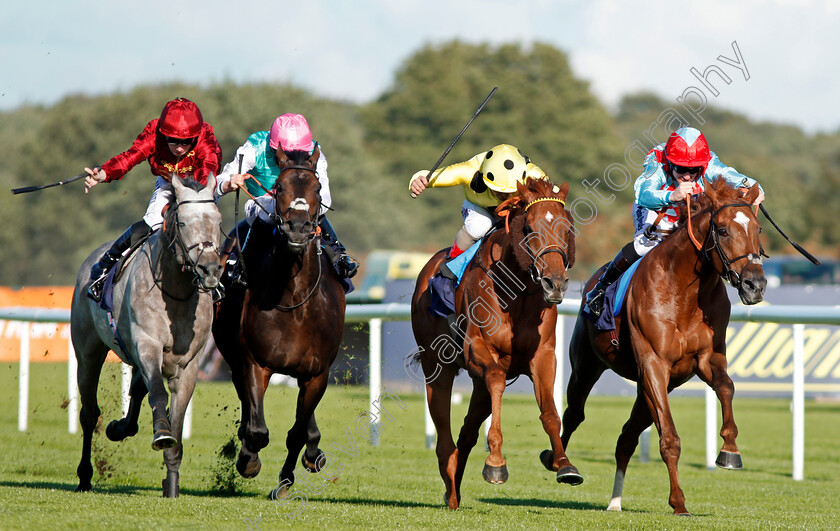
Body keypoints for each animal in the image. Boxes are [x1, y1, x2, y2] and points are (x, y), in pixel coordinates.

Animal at [70, 176, 223, 498]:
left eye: (217, 221)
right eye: (183, 221)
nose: (210, 270)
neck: (176, 291)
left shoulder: (189, 365)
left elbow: (177, 417)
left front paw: (172, 484)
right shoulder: (147, 345)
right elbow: (157, 393)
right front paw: (161, 433)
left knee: (136, 390)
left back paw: (119, 428)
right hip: (88, 353)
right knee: (89, 413)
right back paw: (85, 475)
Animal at [212, 145, 346, 498]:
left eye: (317, 188)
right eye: (279, 187)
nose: (298, 228)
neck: (296, 302)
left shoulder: (317, 373)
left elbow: (297, 432)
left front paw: (285, 482)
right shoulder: (255, 363)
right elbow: (257, 428)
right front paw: (248, 460)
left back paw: (313, 452)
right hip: (232, 354)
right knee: (247, 406)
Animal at [410, 179, 580, 512]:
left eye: (567, 227)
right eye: (528, 227)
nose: (555, 283)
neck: (517, 292)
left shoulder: (543, 355)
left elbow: (550, 412)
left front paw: (563, 463)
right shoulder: (477, 349)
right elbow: (498, 380)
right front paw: (496, 463)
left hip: (476, 385)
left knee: (466, 432)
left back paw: (455, 487)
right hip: (437, 368)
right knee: (444, 434)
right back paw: (450, 488)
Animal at [564, 179, 768, 516]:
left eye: (758, 228)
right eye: (723, 230)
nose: (756, 285)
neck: (683, 292)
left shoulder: (706, 359)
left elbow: (727, 387)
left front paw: (729, 451)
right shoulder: (653, 364)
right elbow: (670, 440)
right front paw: (679, 502)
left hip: (647, 390)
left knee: (626, 437)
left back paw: (615, 502)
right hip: (587, 367)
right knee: (572, 415)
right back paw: (561, 466)